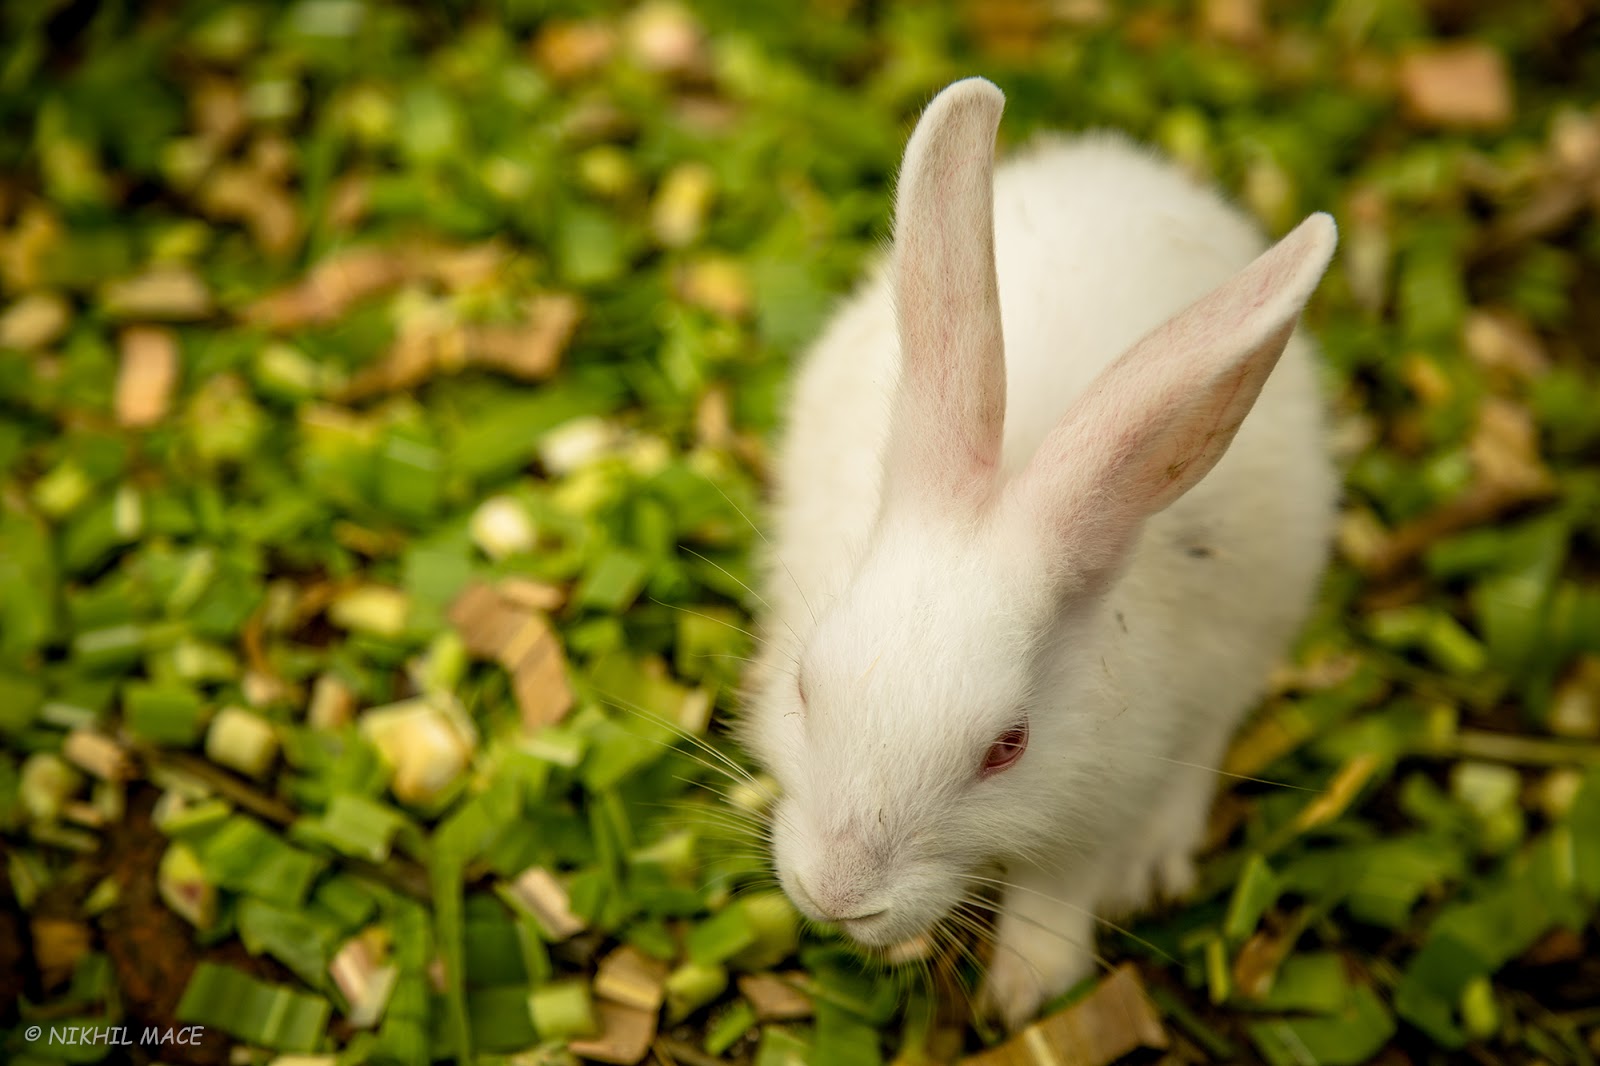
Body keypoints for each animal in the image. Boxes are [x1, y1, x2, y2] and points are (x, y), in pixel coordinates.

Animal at [737, 76, 1340, 1029]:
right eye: (803, 687)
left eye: (1007, 749)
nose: (839, 896)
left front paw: (1029, 992)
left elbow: (1060, 887)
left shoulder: (1096, 798)